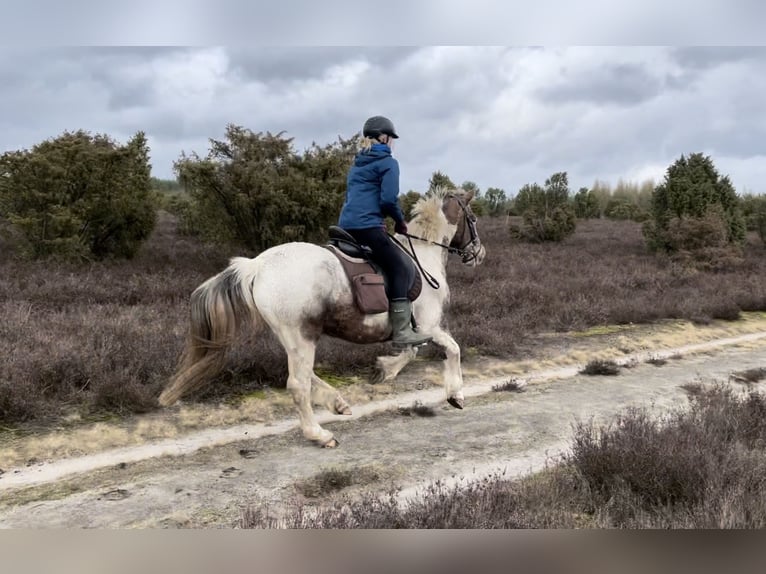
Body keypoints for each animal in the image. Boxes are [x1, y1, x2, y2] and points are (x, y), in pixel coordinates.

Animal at [158, 187, 486, 447]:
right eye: (473, 219)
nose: (479, 254)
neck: (422, 255)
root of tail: (257, 265)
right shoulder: (428, 326)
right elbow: (450, 349)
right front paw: (455, 394)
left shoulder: (417, 329)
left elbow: (412, 351)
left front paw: (383, 370)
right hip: (302, 335)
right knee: (297, 384)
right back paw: (320, 434)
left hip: (293, 336)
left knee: (304, 375)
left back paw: (336, 402)